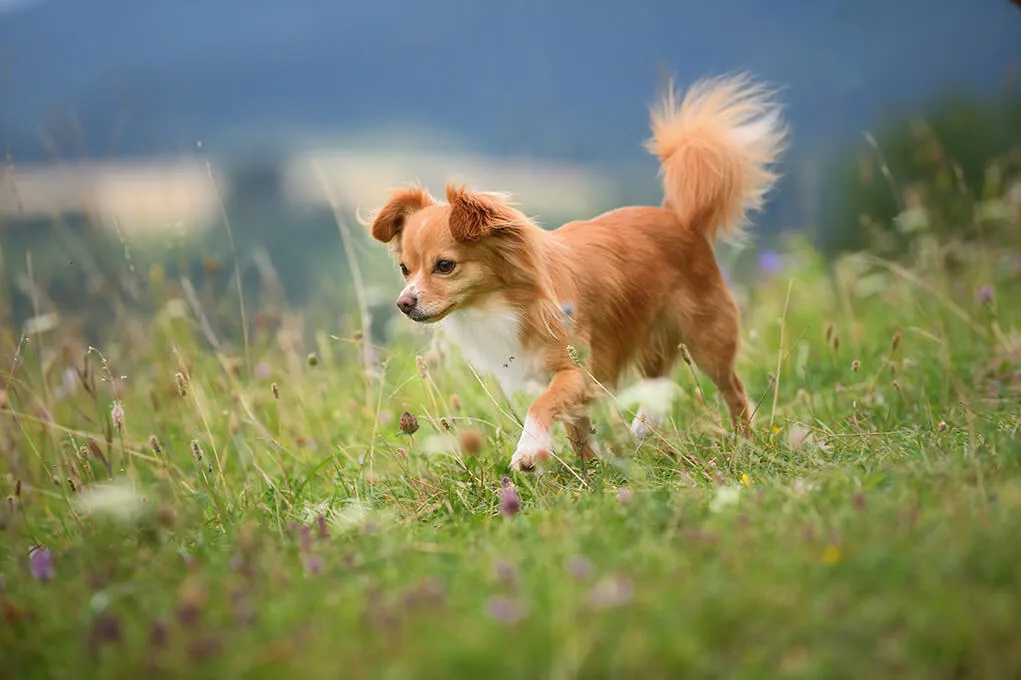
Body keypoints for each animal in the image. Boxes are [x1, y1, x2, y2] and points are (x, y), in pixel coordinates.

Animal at [367, 69, 788, 471]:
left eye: (444, 266)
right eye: (405, 269)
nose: (404, 303)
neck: (503, 301)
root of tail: (681, 218)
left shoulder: (578, 370)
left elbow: (542, 406)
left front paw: (528, 451)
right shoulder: (551, 377)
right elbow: (575, 426)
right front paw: (590, 470)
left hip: (707, 339)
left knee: (732, 388)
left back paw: (744, 442)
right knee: (659, 382)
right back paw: (643, 428)